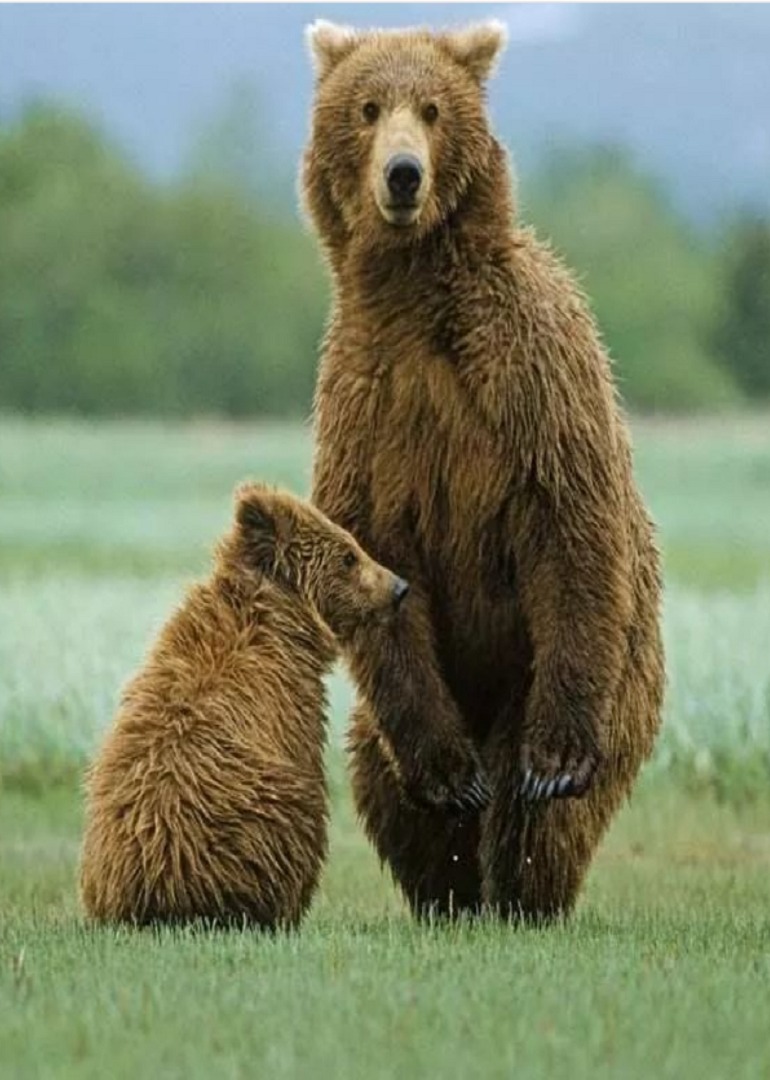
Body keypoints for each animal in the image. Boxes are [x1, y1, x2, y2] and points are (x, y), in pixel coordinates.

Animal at [79, 483, 409, 928]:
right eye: (349, 555)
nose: (399, 587)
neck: (282, 617)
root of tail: (155, 888)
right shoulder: (288, 706)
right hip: (244, 826)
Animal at [302, 20, 665, 921]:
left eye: (432, 109)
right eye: (369, 108)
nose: (403, 174)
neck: (417, 293)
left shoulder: (530, 369)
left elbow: (568, 518)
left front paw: (553, 764)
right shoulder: (367, 402)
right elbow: (372, 554)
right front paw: (448, 781)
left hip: (606, 675)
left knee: (540, 812)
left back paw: (521, 887)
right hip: (407, 710)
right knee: (382, 778)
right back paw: (450, 885)